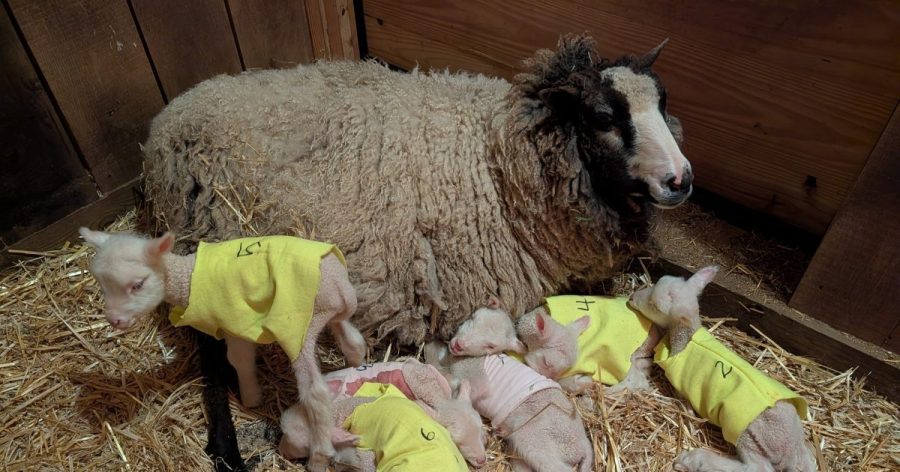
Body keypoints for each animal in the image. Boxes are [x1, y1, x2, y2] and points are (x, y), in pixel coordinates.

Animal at [77, 228, 367, 471]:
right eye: (102, 286)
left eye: (137, 284)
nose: (114, 320)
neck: (187, 278)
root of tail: (338, 283)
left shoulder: (233, 322)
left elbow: (240, 360)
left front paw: (251, 397)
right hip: (330, 313)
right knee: (353, 342)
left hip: (297, 326)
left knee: (315, 391)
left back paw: (320, 455)